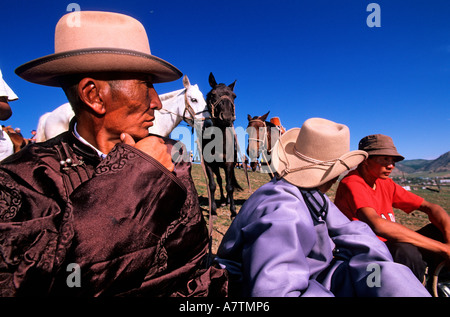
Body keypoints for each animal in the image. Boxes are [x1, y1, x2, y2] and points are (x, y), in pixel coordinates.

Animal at [201, 73, 243, 217]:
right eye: (213, 94)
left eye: (234, 96)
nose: (227, 117)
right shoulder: (209, 164)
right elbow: (213, 185)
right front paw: (213, 210)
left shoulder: (229, 164)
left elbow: (229, 186)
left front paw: (233, 211)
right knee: (219, 180)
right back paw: (223, 200)